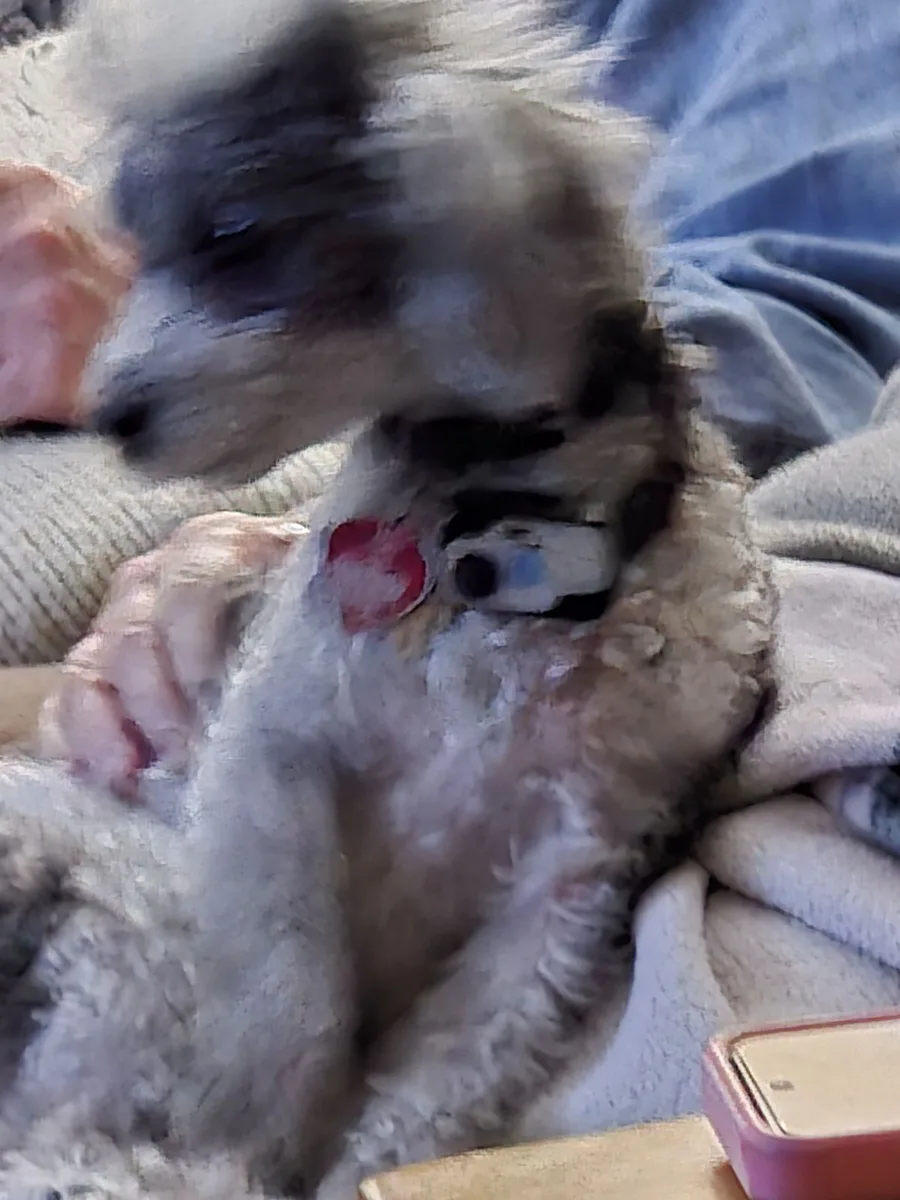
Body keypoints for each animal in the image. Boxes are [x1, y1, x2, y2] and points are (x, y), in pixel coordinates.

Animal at [0, 0, 773, 1194]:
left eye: (234, 235)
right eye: (134, 249)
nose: (109, 411)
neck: (503, 537)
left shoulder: (568, 882)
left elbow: (431, 1089)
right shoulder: (272, 761)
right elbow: (287, 1000)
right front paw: (245, 1134)